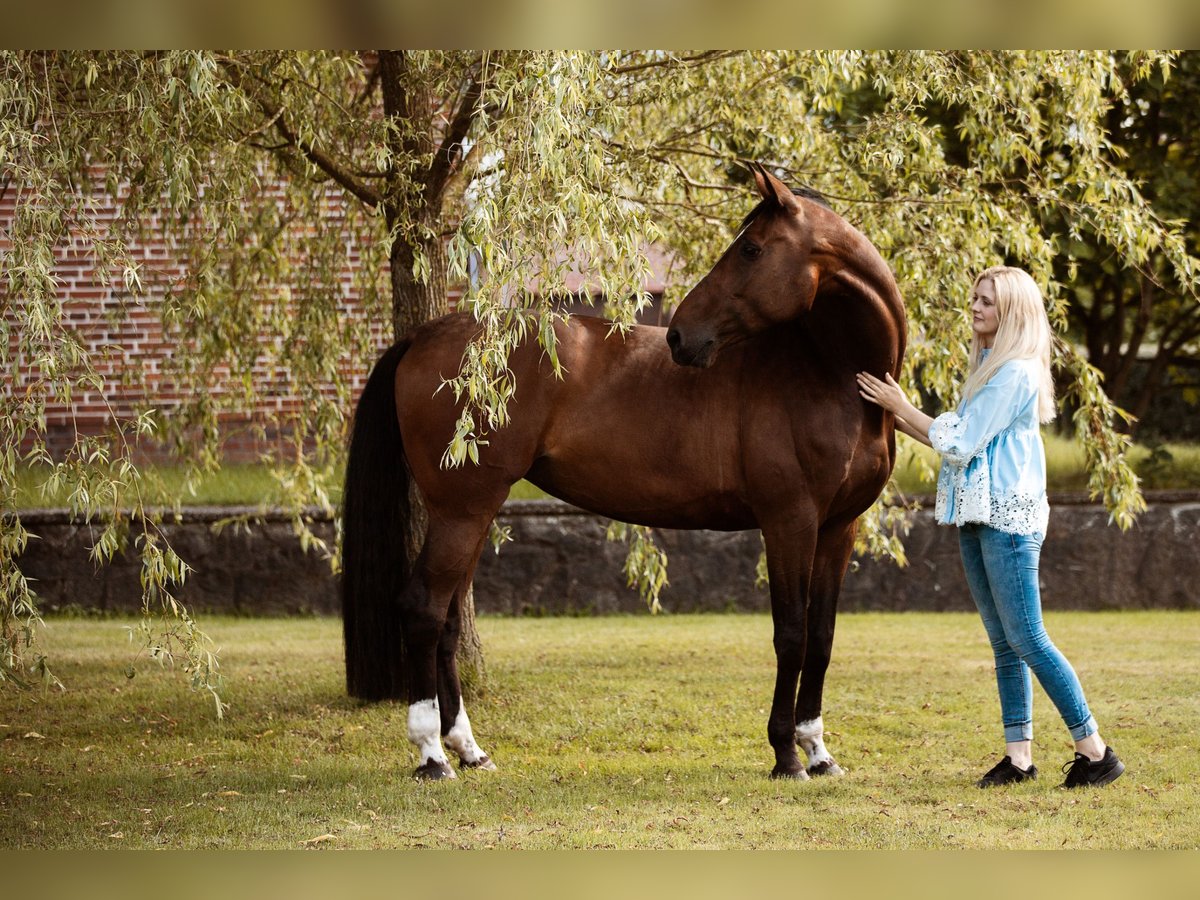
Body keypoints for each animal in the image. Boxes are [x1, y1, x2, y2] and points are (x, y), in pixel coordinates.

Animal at [343, 168, 902, 782]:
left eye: (752, 249)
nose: (681, 336)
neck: (829, 373)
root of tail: (423, 336)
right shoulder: (788, 522)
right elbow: (792, 635)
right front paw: (786, 754)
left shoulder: (838, 527)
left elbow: (821, 637)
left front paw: (819, 752)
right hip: (462, 510)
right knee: (424, 609)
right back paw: (431, 755)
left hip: (471, 511)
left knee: (446, 622)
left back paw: (469, 749)